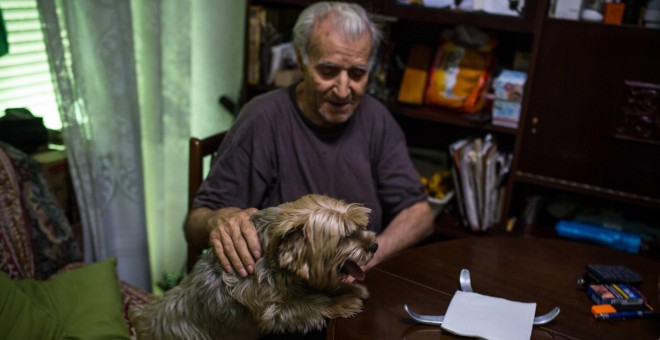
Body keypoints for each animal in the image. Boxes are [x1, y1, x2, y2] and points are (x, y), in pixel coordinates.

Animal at [132, 194, 378, 340]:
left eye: (359, 227)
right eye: (345, 237)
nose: (374, 245)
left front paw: (351, 289)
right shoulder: (272, 310)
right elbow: (311, 304)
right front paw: (343, 301)